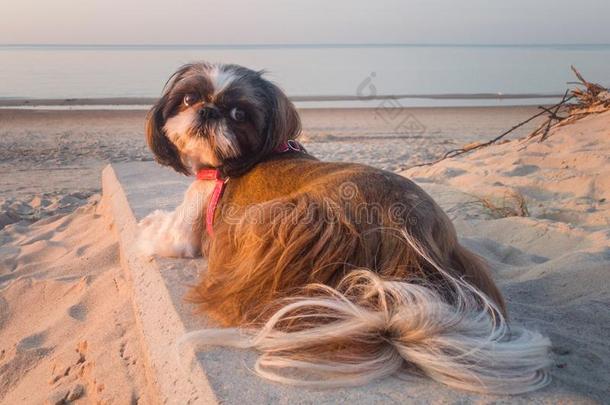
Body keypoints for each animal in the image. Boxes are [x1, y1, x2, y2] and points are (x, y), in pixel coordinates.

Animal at [139, 61, 552, 392]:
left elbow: (162, 234)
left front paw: (146, 226)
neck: (231, 164)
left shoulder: (191, 218)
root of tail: (405, 234)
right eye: (189, 99)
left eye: (240, 114)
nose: (207, 111)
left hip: (281, 219)